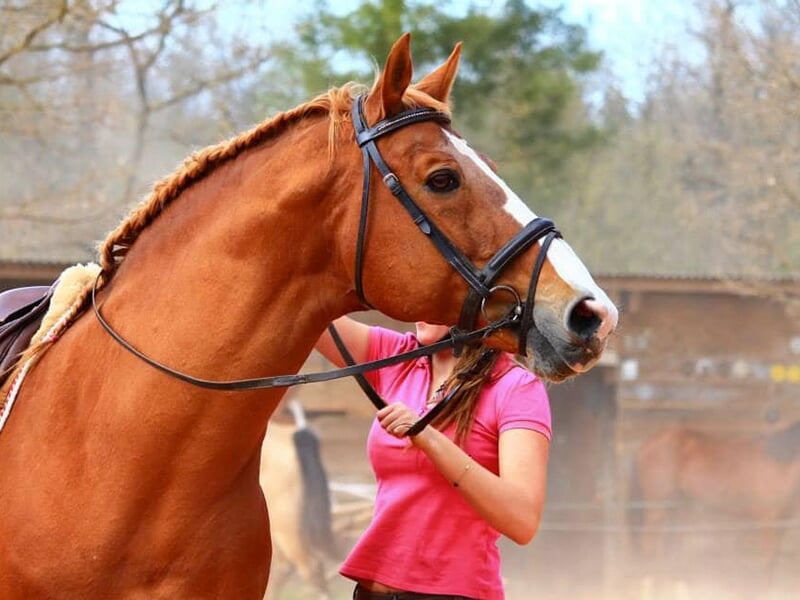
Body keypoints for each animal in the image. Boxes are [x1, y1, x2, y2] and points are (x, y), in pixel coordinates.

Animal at [630, 422, 800, 573]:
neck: (779, 463)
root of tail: (647, 444)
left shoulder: (782, 522)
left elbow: (773, 563)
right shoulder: (767, 520)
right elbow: (767, 561)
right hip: (657, 504)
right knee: (648, 540)